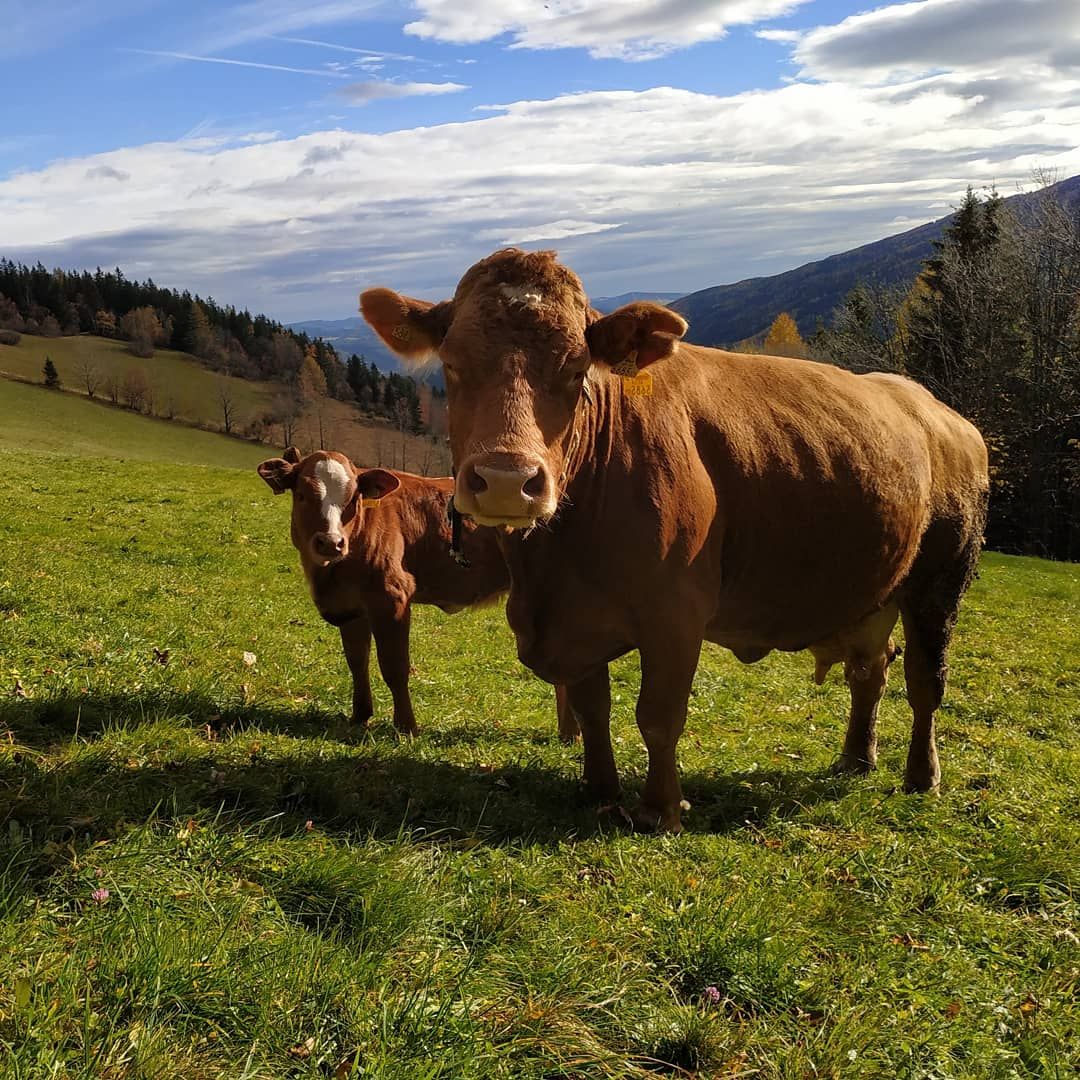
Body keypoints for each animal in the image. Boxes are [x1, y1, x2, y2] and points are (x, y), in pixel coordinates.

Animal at [257, 447, 575, 739]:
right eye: (302, 495)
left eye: (353, 498)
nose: (331, 542)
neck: (330, 575)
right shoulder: (351, 608)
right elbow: (357, 662)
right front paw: (360, 715)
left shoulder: (392, 596)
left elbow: (394, 667)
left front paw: (406, 727)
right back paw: (568, 734)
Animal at [359, 248, 989, 833]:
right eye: (452, 364)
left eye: (577, 370)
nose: (508, 480)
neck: (554, 564)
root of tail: (939, 411)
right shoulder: (576, 620)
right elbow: (593, 710)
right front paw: (599, 790)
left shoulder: (676, 614)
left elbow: (658, 716)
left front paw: (660, 809)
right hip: (874, 589)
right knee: (871, 669)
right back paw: (856, 758)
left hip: (942, 577)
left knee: (924, 681)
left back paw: (921, 776)